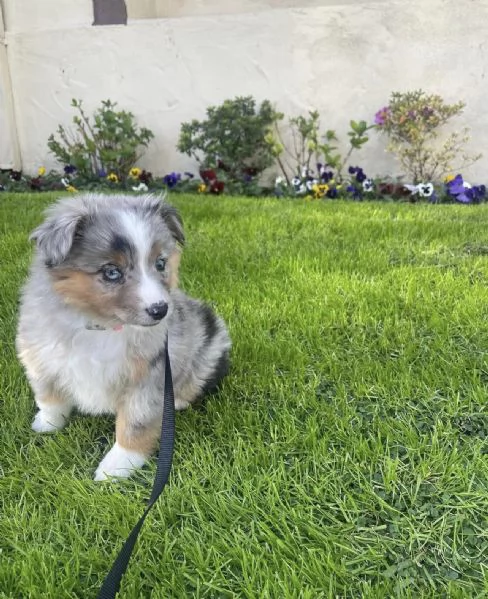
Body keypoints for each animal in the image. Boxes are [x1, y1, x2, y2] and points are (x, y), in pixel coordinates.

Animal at [14, 195, 229, 480]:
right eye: (111, 272)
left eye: (160, 263)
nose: (161, 310)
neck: (103, 326)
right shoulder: (40, 356)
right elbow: (49, 396)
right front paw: (47, 424)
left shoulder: (151, 373)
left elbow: (135, 422)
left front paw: (117, 467)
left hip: (209, 343)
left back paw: (179, 401)